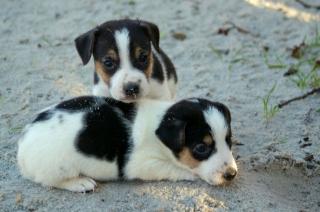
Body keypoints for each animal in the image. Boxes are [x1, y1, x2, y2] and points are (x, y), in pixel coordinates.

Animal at [16, 96, 238, 192]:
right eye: (201, 148)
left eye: (228, 140)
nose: (232, 175)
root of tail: (21, 150)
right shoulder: (144, 164)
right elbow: (177, 169)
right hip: (58, 168)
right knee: (50, 181)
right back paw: (80, 183)